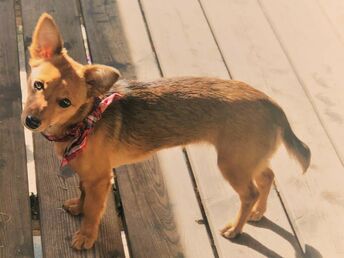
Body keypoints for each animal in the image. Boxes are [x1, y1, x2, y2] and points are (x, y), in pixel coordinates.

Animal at [22, 13, 312, 250]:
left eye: (65, 103)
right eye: (37, 85)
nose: (31, 121)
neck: (84, 121)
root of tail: (273, 105)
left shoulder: (100, 179)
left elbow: (94, 211)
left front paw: (86, 236)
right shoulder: (89, 175)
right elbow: (83, 193)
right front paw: (78, 207)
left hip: (233, 163)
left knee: (250, 193)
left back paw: (235, 228)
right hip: (249, 158)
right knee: (267, 177)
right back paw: (258, 212)